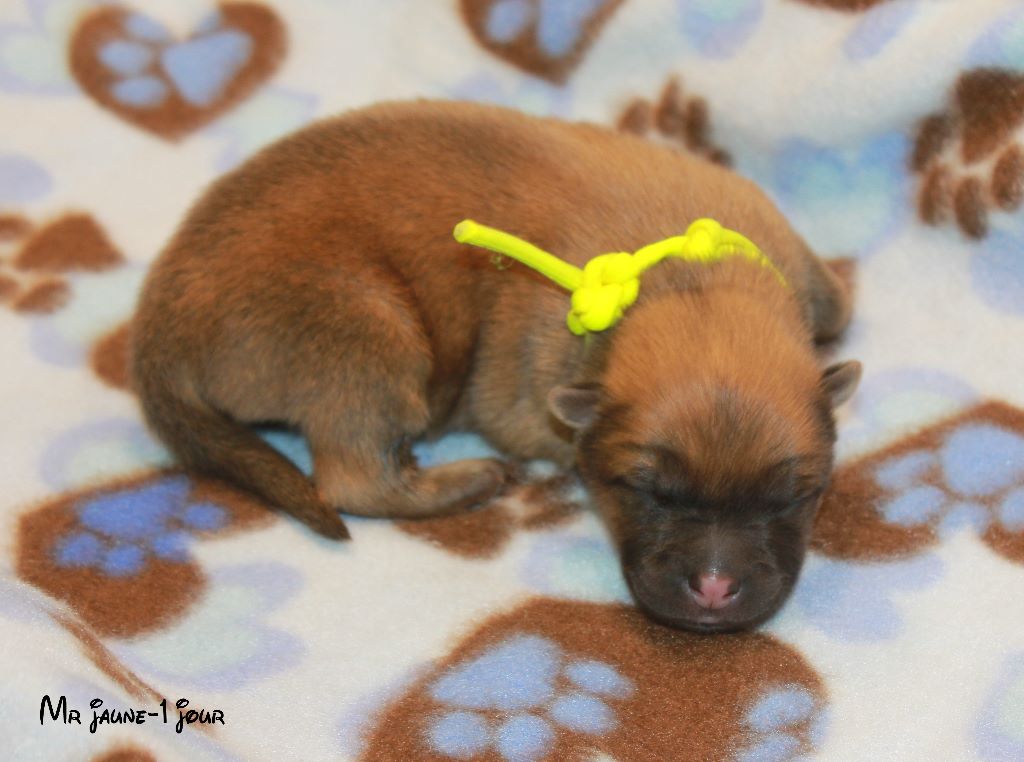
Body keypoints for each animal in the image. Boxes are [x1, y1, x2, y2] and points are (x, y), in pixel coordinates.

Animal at [132, 100, 859, 632]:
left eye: (794, 496)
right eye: (645, 491)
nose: (713, 588)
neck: (689, 287)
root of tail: (158, 330)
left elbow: (837, 304)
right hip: (367, 329)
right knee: (351, 477)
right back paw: (467, 480)